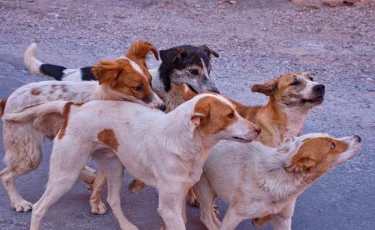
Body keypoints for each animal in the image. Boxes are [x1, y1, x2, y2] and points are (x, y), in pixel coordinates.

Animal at [0, 40, 166, 213]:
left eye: (150, 81)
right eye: (137, 87)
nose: (163, 107)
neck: (109, 98)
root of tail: (8, 99)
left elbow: (101, 179)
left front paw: (95, 199)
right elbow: (102, 180)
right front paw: (96, 203)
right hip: (29, 153)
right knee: (5, 175)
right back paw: (18, 201)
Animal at [194, 132, 362, 229]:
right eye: (332, 146)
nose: (358, 138)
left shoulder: (283, 219)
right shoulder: (234, 215)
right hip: (205, 188)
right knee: (205, 217)